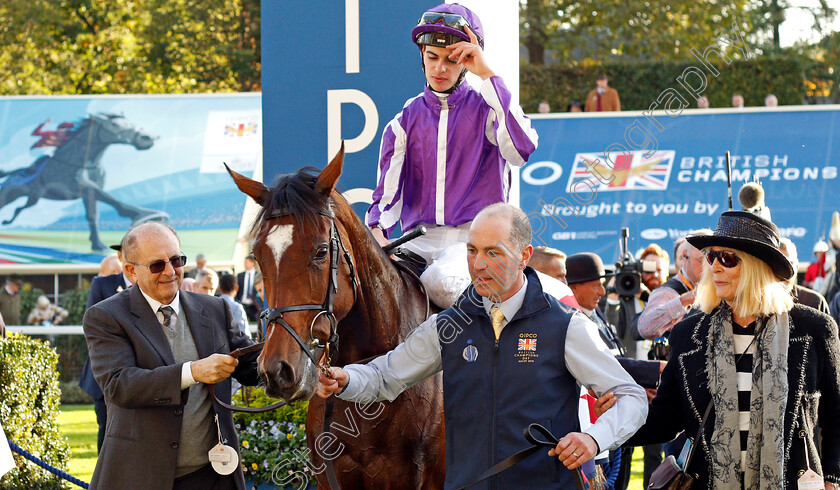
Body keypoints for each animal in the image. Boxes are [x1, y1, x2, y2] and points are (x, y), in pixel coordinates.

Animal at [0, 113, 169, 251]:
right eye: (114, 124)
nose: (148, 137)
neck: (83, 161)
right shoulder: (84, 186)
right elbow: (111, 200)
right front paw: (147, 215)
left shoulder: (88, 193)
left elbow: (93, 215)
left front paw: (97, 244)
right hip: (11, 195)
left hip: (33, 198)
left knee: (20, 208)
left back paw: (7, 221)